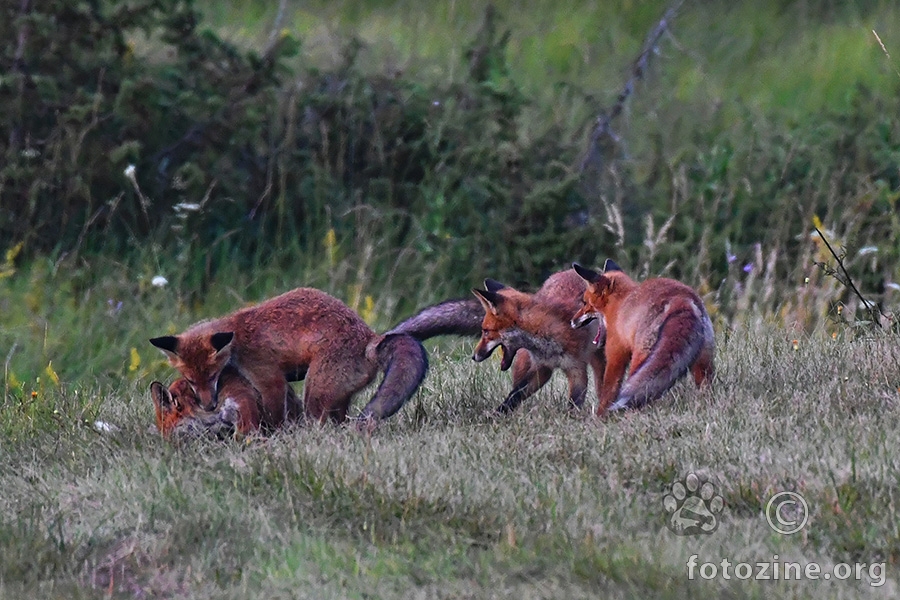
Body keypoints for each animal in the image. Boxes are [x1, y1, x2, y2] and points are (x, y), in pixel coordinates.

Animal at [149, 288, 428, 424]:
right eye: (191, 381)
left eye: (212, 376)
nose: (209, 406)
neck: (237, 338)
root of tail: (371, 340)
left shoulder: (269, 377)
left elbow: (274, 415)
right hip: (336, 396)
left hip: (316, 393)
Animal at [572, 260, 712, 414]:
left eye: (585, 302)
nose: (572, 321)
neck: (619, 303)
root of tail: (681, 298)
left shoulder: (616, 354)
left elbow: (608, 391)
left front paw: (600, 416)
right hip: (703, 361)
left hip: (640, 358)